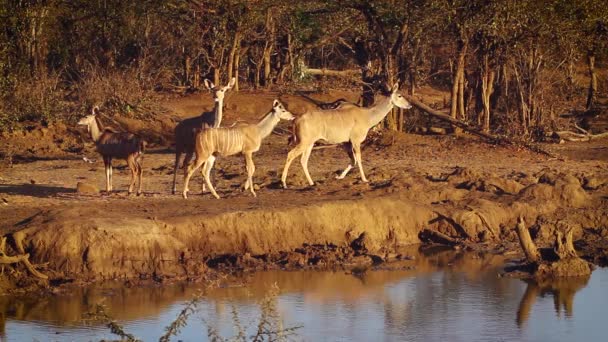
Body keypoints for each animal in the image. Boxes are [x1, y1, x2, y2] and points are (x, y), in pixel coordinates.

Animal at [282, 84, 410, 188]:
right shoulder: (355, 141)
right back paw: (283, 183)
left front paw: (339, 177)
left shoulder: (346, 143)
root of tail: (296, 119)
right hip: (304, 142)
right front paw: (364, 179)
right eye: (399, 95)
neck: (367, 115)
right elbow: (358, 159)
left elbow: (353, 160)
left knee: (303, 160)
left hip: (310, 144)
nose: (409, 105)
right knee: (290, 154)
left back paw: (312, 183)